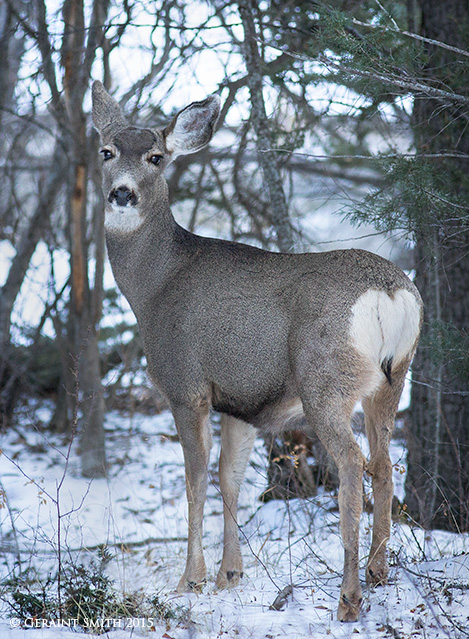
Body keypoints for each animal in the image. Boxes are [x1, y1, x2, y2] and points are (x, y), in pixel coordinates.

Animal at [92, 81, 424, 624]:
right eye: (107, 151)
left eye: (157, 157)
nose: (122, 192)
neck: (155, 286)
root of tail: (392, 295)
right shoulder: (239, 400)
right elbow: (229, 478)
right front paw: (230, 575)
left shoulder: (185, 385)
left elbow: (195, 479)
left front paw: (191, 580)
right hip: (391, 379)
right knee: (384, 464)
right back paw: (378, 573)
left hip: (323, 378)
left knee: (352, 464)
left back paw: (348, 599)